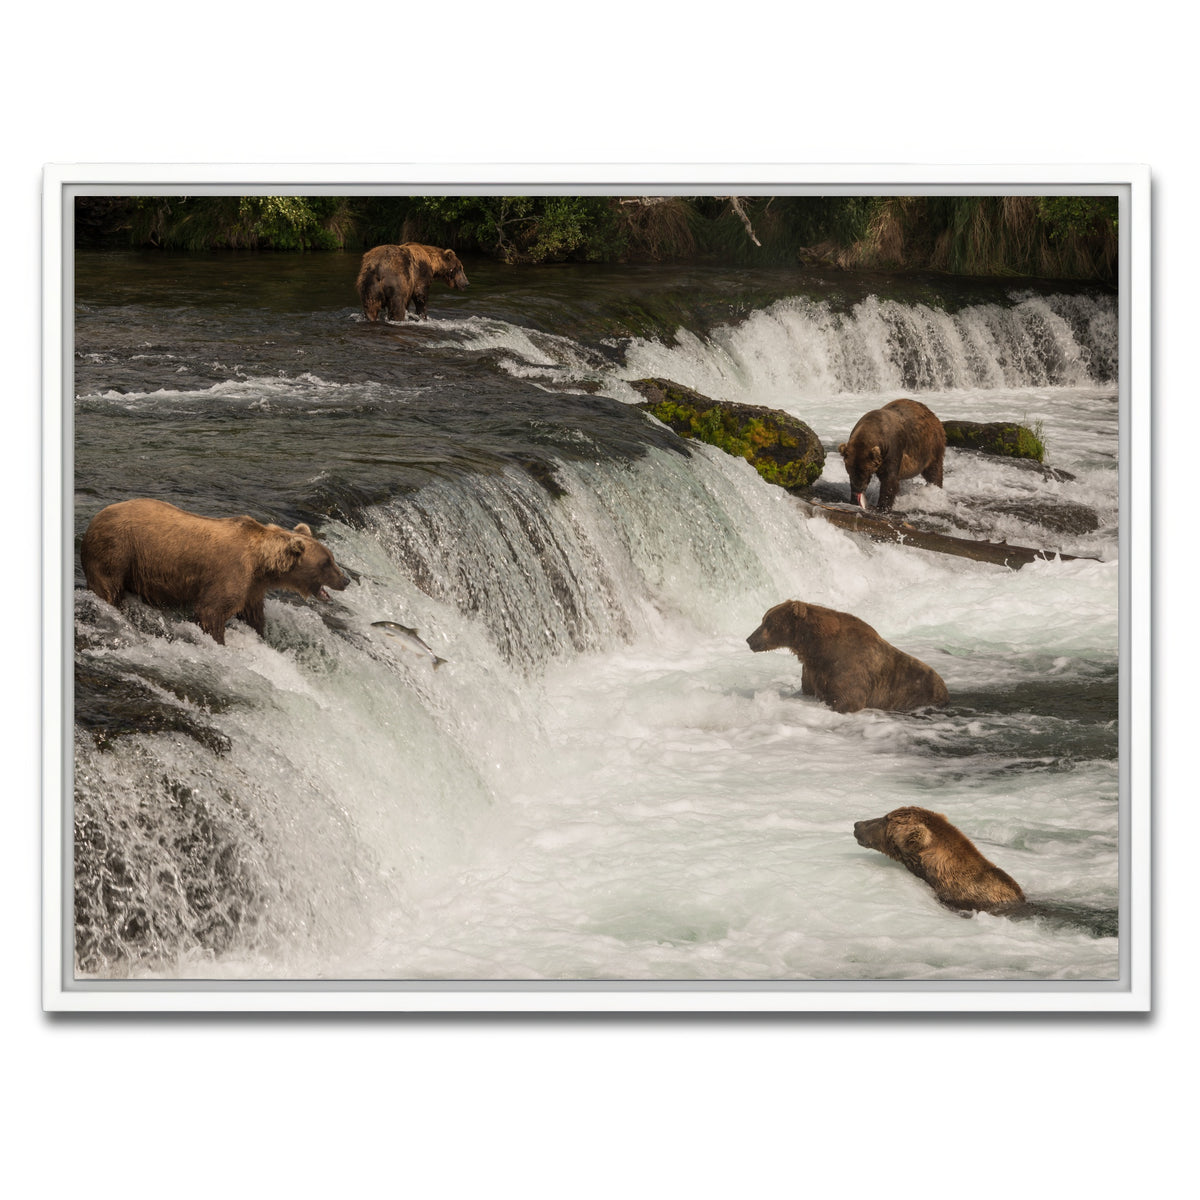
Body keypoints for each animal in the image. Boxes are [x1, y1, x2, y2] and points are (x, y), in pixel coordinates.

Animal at [80, 498, 351, 645]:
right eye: (327, 562)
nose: (346, 579)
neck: (261, 564)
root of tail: (94, 519)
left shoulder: (252, 587)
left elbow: (253, 615)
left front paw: (262, 634)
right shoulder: (231, 573)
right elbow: (211, 611)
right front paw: (220, 641)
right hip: (117, 551)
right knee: (108, 589)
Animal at [746, 599, 948, 713]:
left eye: (767, 622)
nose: (749, 639)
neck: (816, 647)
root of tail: (944, 688)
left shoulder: (847, 667)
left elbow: (847, 699)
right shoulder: (813, 670)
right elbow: (808, 689)